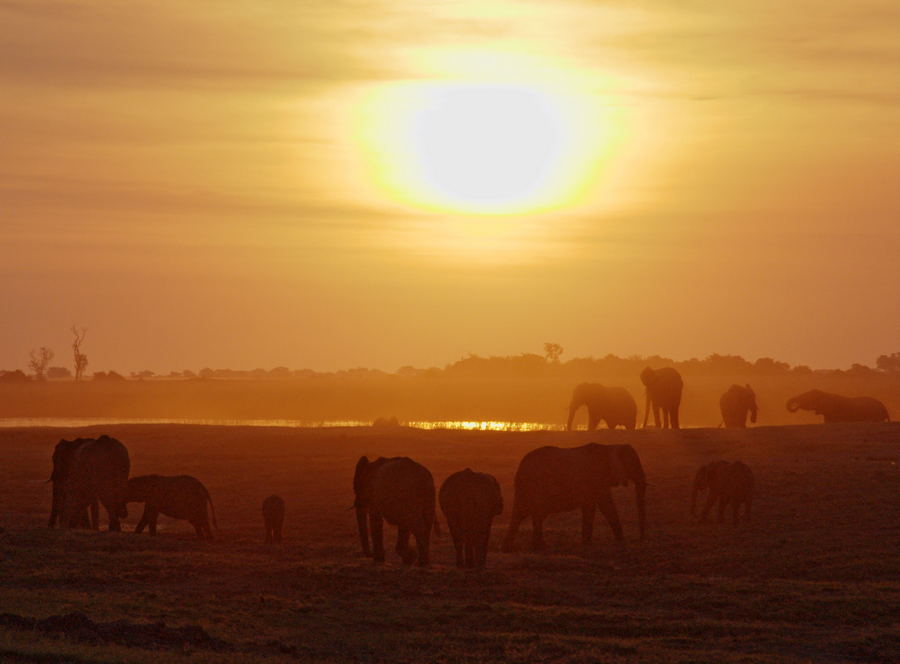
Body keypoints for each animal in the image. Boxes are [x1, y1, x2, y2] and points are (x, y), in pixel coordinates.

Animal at [500, 444, 648, 552]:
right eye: (632, 465)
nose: (640, 540)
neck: (611, 446)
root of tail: (521, 467)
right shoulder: (597, 479)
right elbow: (605, 505)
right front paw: (621, 541)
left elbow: (591, 507)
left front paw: (587, 543)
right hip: (536, 486)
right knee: (536, 514)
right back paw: (541, 547)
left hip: (527, 488)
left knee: (522, 514)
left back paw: (509, 548)